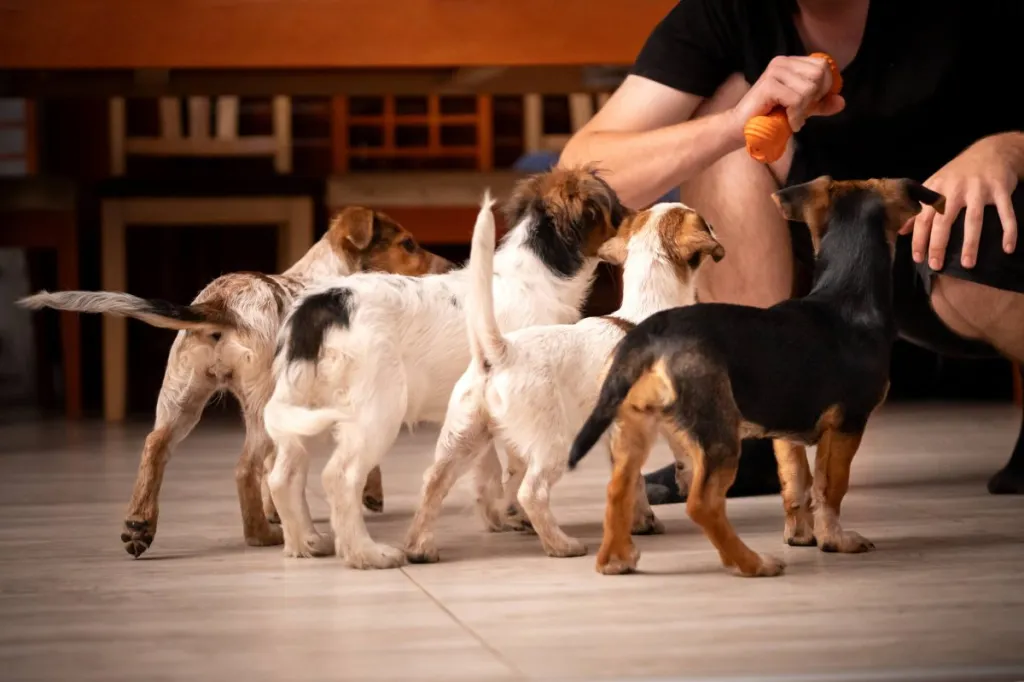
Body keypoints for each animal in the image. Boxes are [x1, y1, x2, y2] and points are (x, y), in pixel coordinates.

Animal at [18, 208, 452, 557]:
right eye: (408, 244)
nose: (451, 267)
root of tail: (222, 304)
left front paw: (282, 511)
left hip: (182, 396)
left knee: (156, 444)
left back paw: (140, 524)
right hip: (259, 403)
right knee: (245, 466)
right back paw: (260, 535)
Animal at [260, 166, 626, 565]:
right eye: (617, 212)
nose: (636, 212)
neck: (534, 272)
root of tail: (321, 306)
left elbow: (484, 470)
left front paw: (496, 515)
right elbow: (514, 469)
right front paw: (517, 514)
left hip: (302, 408)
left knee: (283, 477)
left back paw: (305, 542)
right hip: (377, 410)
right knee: (339, 477)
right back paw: (367, 553)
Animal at [403, 199, 724, 561]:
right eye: (706, 222)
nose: (715, 226)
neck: (643, 309)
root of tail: (501, 353)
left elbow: (632, 479)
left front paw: (640, 519)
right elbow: (686, 455)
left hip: (463, 438)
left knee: (434, 483)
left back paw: (420, 546)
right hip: (551, 445)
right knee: (531, 493)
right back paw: (561, 545)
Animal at [569, 175, 942, 573]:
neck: (845, 297)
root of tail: (652, 334)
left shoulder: (785, 430)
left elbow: (797, 484)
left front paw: (800, 536)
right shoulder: (848, 424)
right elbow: (830, 489)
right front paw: (836, 540)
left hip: (634, 428)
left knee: (619, 490)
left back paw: (616, 559)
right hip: (717, 433)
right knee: (702, 505)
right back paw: (750, 563)